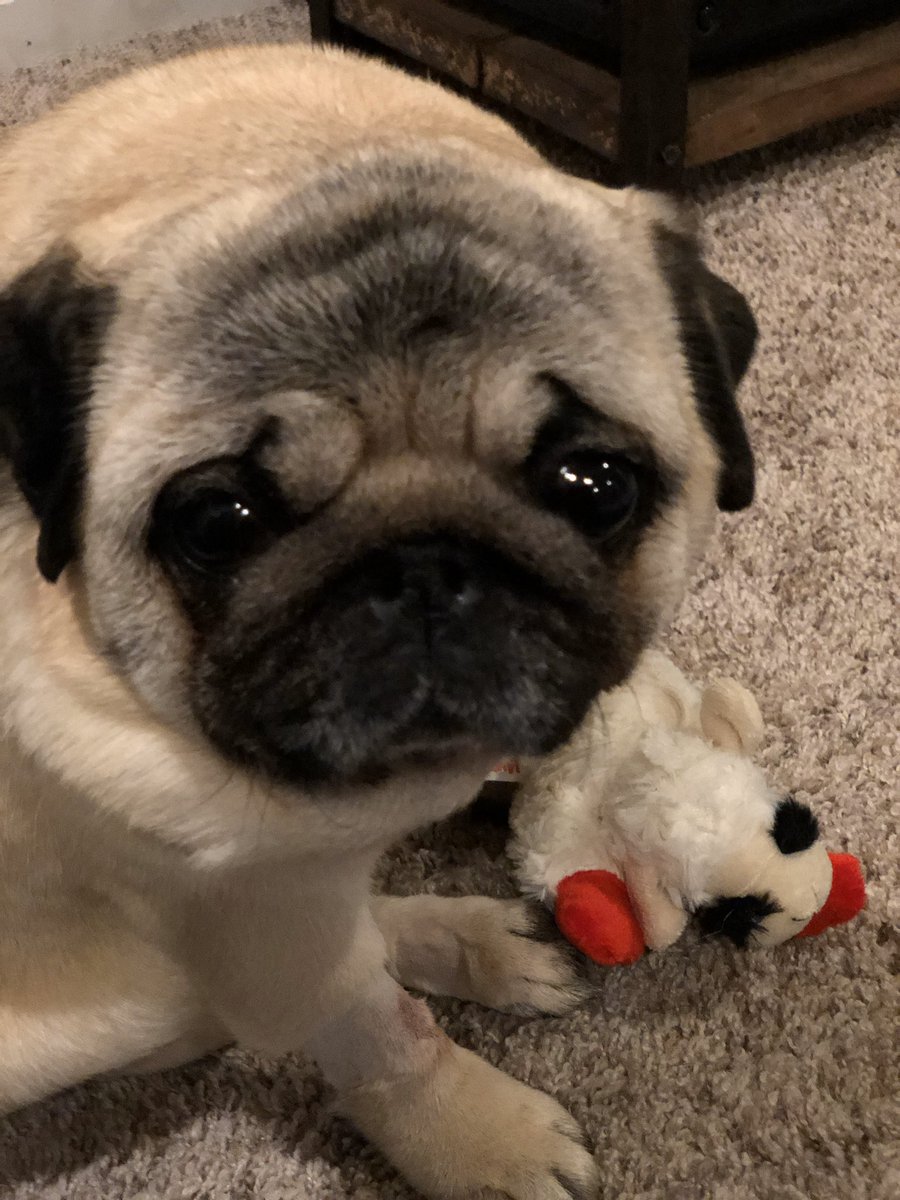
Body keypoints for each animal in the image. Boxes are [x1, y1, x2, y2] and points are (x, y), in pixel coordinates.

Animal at [0, 43, 757, 1199]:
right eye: (218, 521)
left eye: (594, 483)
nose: (425, 565)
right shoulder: (252, 910)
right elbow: (380, 1034)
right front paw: (472, 1136)